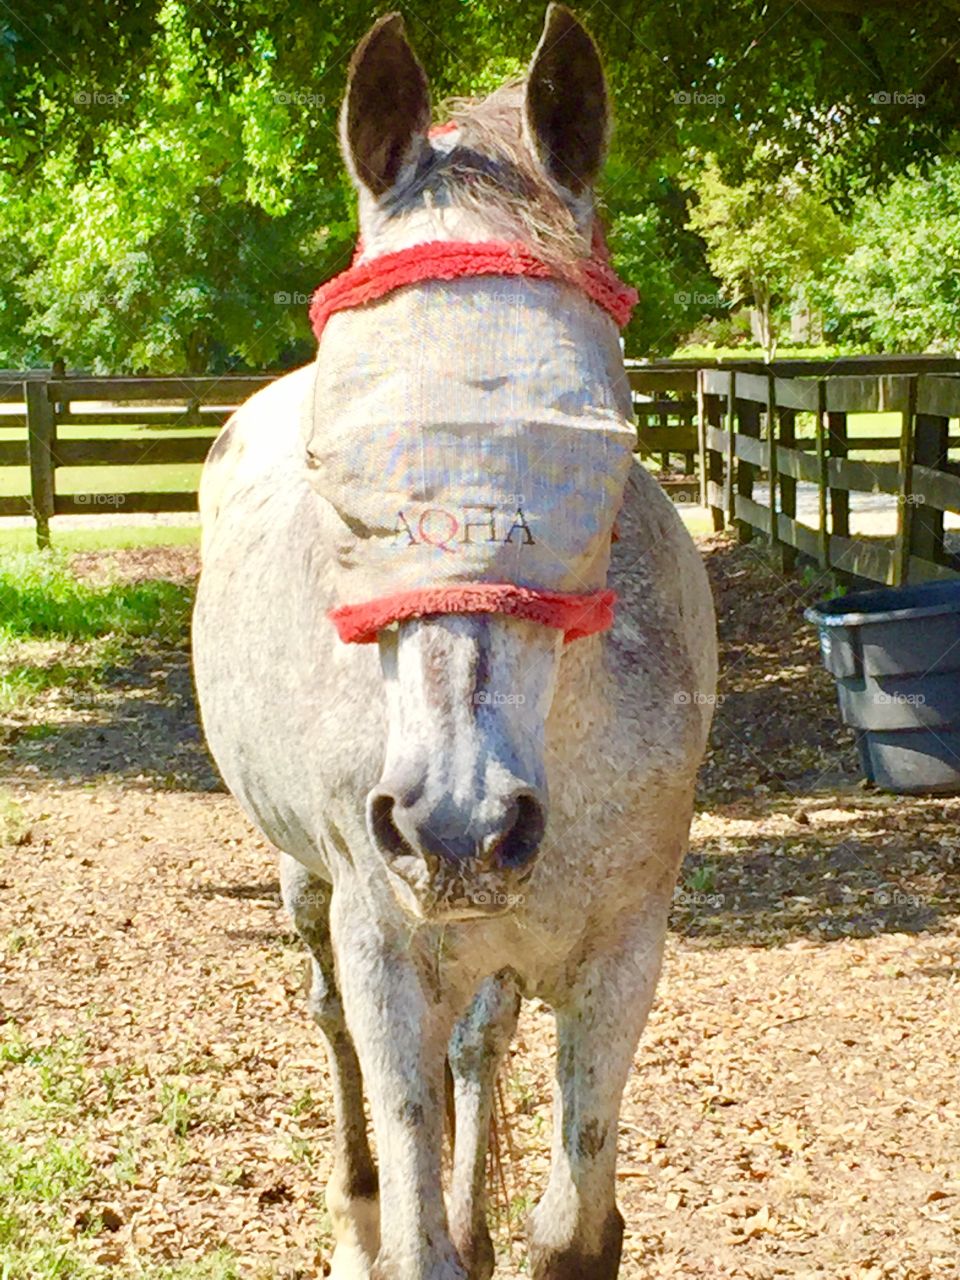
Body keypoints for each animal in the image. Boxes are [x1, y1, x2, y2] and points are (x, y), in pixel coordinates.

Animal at [192, 8, 717, 1279]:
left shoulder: (625, 952)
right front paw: (401, 1218)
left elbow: (574, 1224)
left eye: (599, 442)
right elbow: (414, 1217)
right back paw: (356, 1197)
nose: (455, 822)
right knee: (336, 1023)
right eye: (335, 462)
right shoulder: (386, 944)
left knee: (478, 1043)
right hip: (312, 891)